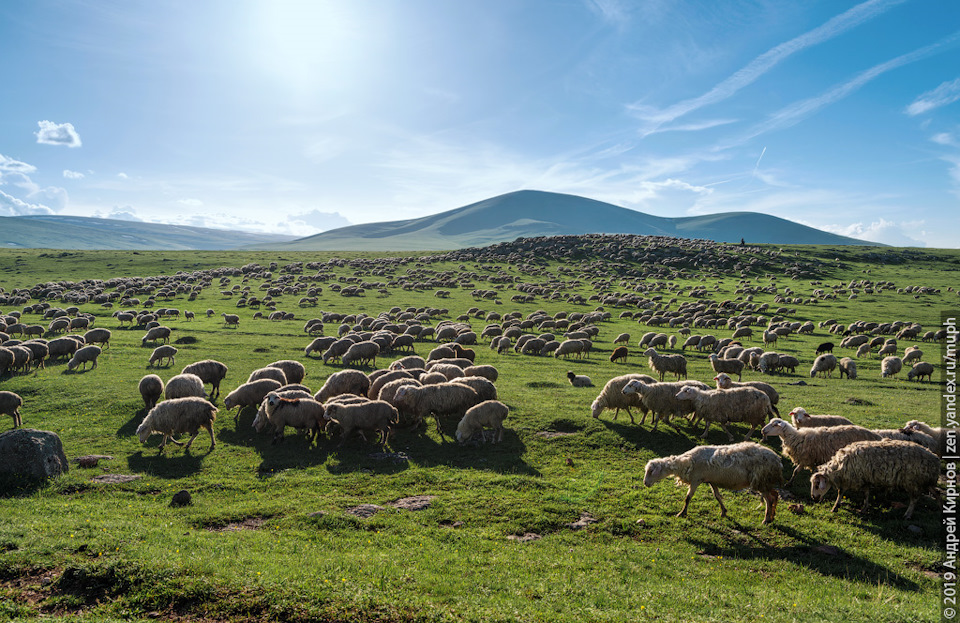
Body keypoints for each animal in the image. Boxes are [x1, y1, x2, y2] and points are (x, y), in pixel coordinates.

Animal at [640, 442, 784, 524]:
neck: (685, 462)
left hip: (761, 480)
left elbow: (688, 498)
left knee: (769, 500)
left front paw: (682, 514)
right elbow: (717, 496)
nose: (645, 483)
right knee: (775, 494)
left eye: (651, 471)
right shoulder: (711, 480)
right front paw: (724, 512)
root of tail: (778, 460)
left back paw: (766, 519)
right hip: (765, 482)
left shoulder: (696, 480)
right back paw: (772, 517)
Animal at [808, 438, 936, 520]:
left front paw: (835, 507)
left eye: (817, 485)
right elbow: (866, 493)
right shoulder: (865, 478)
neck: (839, 466)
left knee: (914, 499)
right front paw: (864, 508)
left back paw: (907, 515)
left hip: (913, 481)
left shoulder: (850, 478)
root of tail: (935, 459)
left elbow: (841, 492)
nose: (813, 497)